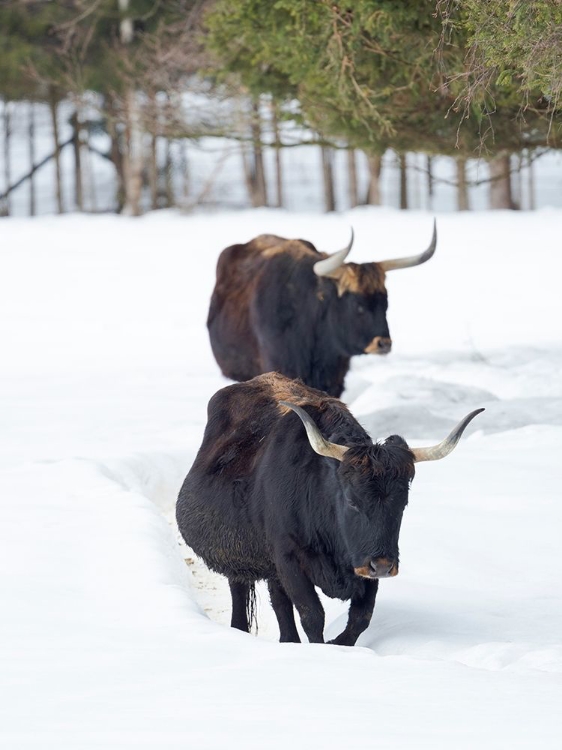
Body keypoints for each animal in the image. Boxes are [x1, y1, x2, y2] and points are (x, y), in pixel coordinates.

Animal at [176, 374, 482, 648]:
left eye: (403, 502)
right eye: (351, 500)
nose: (383, 566)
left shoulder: (361, 562)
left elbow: (361, 617)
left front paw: (339, 644)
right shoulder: (288, 558)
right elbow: (313, 615)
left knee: (280, 604)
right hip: (236, 556)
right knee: (242, 595)